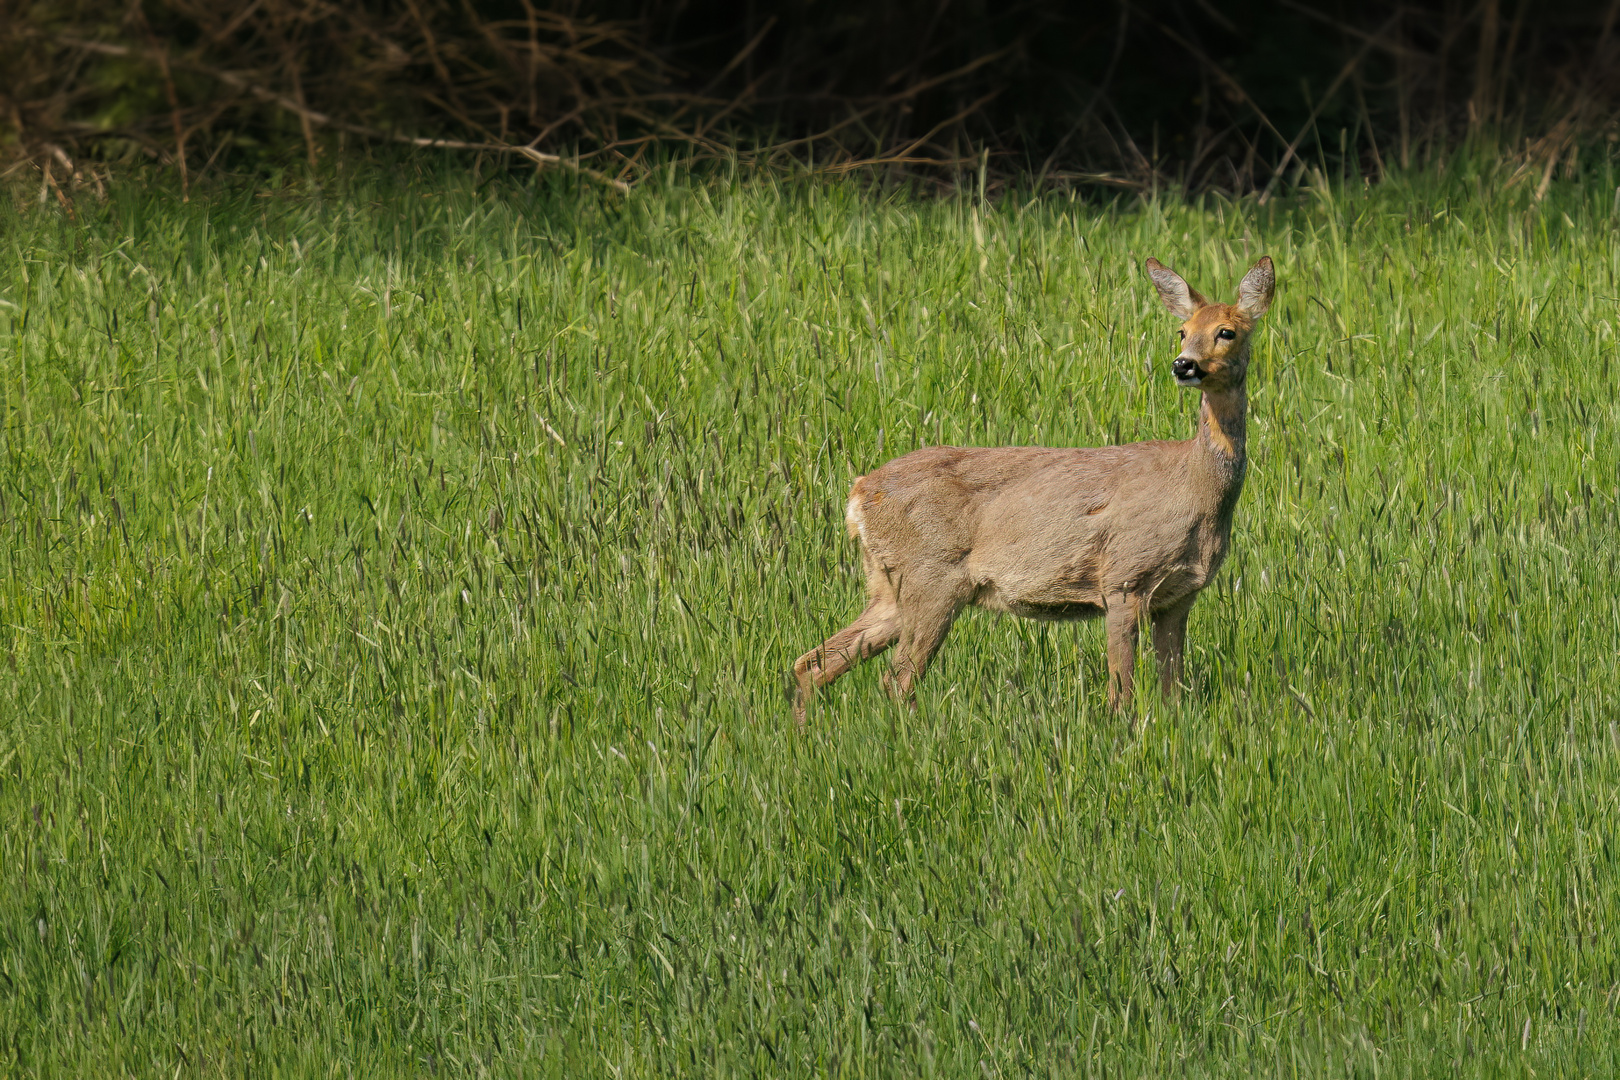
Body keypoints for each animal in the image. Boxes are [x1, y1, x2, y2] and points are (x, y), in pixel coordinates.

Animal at [790, 257, 1270, 722]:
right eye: (1182, 331)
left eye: (1226, 331)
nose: (1183, 364)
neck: (1195, 488)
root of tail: (858, 495)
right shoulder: (1123, 578)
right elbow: (1122, 695)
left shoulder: (1179, 596)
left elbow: (1173, 693)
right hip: (932, 579)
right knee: (896, 680)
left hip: (890, 585)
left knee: (813, 662)